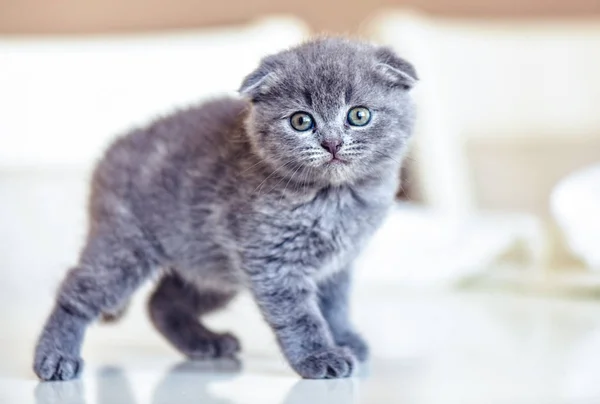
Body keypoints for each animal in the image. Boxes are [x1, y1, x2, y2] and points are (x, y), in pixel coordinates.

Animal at [31, 36, 418, 380]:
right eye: (301, 121)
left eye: (359, 115)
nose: (332, 143)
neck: (334, 198)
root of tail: (110, 152)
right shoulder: (274, 263)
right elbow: (300, 315)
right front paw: (319, 356)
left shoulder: (337, 266)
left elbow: (335, 306)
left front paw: (344, 338)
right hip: (126, 246)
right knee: (77, 289)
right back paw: (54, 357)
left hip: (212, 265)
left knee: (160, 302)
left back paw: (205, 343)